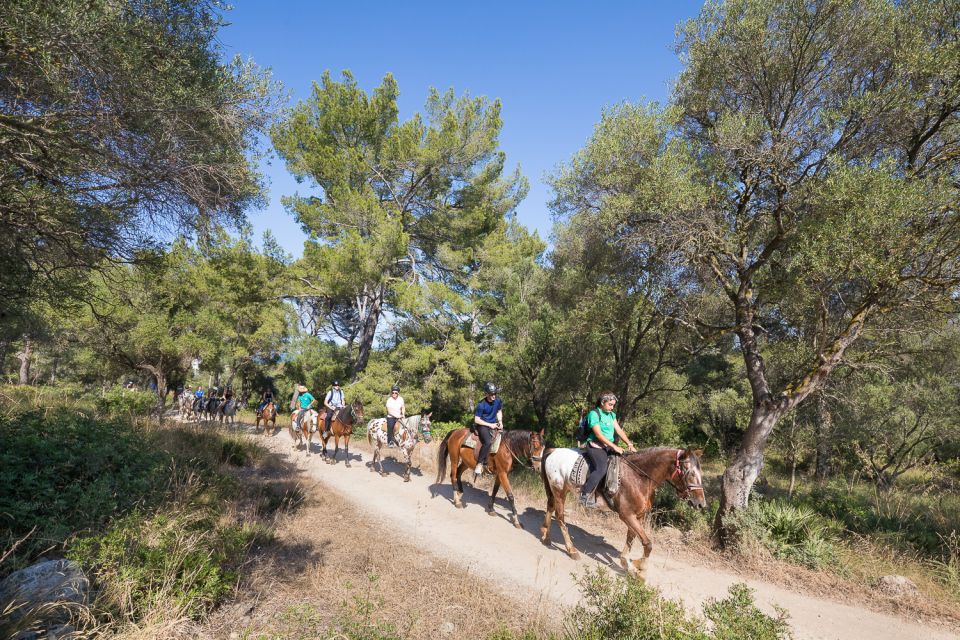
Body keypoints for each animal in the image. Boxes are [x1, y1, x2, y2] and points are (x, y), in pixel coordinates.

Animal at [540, 444, 704, 580]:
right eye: (690, 473)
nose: (701, 503)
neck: (638, 478)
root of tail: (553, 451)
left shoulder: (637, 515)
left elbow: (631, 537)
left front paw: (628, 562)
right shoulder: (626, 515)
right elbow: (647, 543)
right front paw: (640, 570)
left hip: (557, 491)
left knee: (550, 506)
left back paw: (545, 536)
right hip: (559, 491)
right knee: (560, 517)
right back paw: (572, 550)